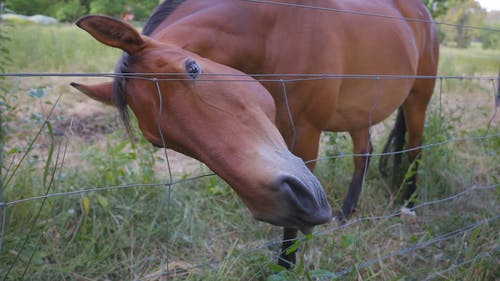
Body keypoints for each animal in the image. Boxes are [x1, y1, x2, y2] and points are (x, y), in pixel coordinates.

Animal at [70, 0, 438, 266]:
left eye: (193, 68)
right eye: (157, 140)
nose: (283, 205)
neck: (275, 30)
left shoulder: (306, 130)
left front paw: (286, 266)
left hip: (417, 100)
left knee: (414, 149)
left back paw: (410, 205)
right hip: (360, 113)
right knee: (364, 152)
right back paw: (346, 213)